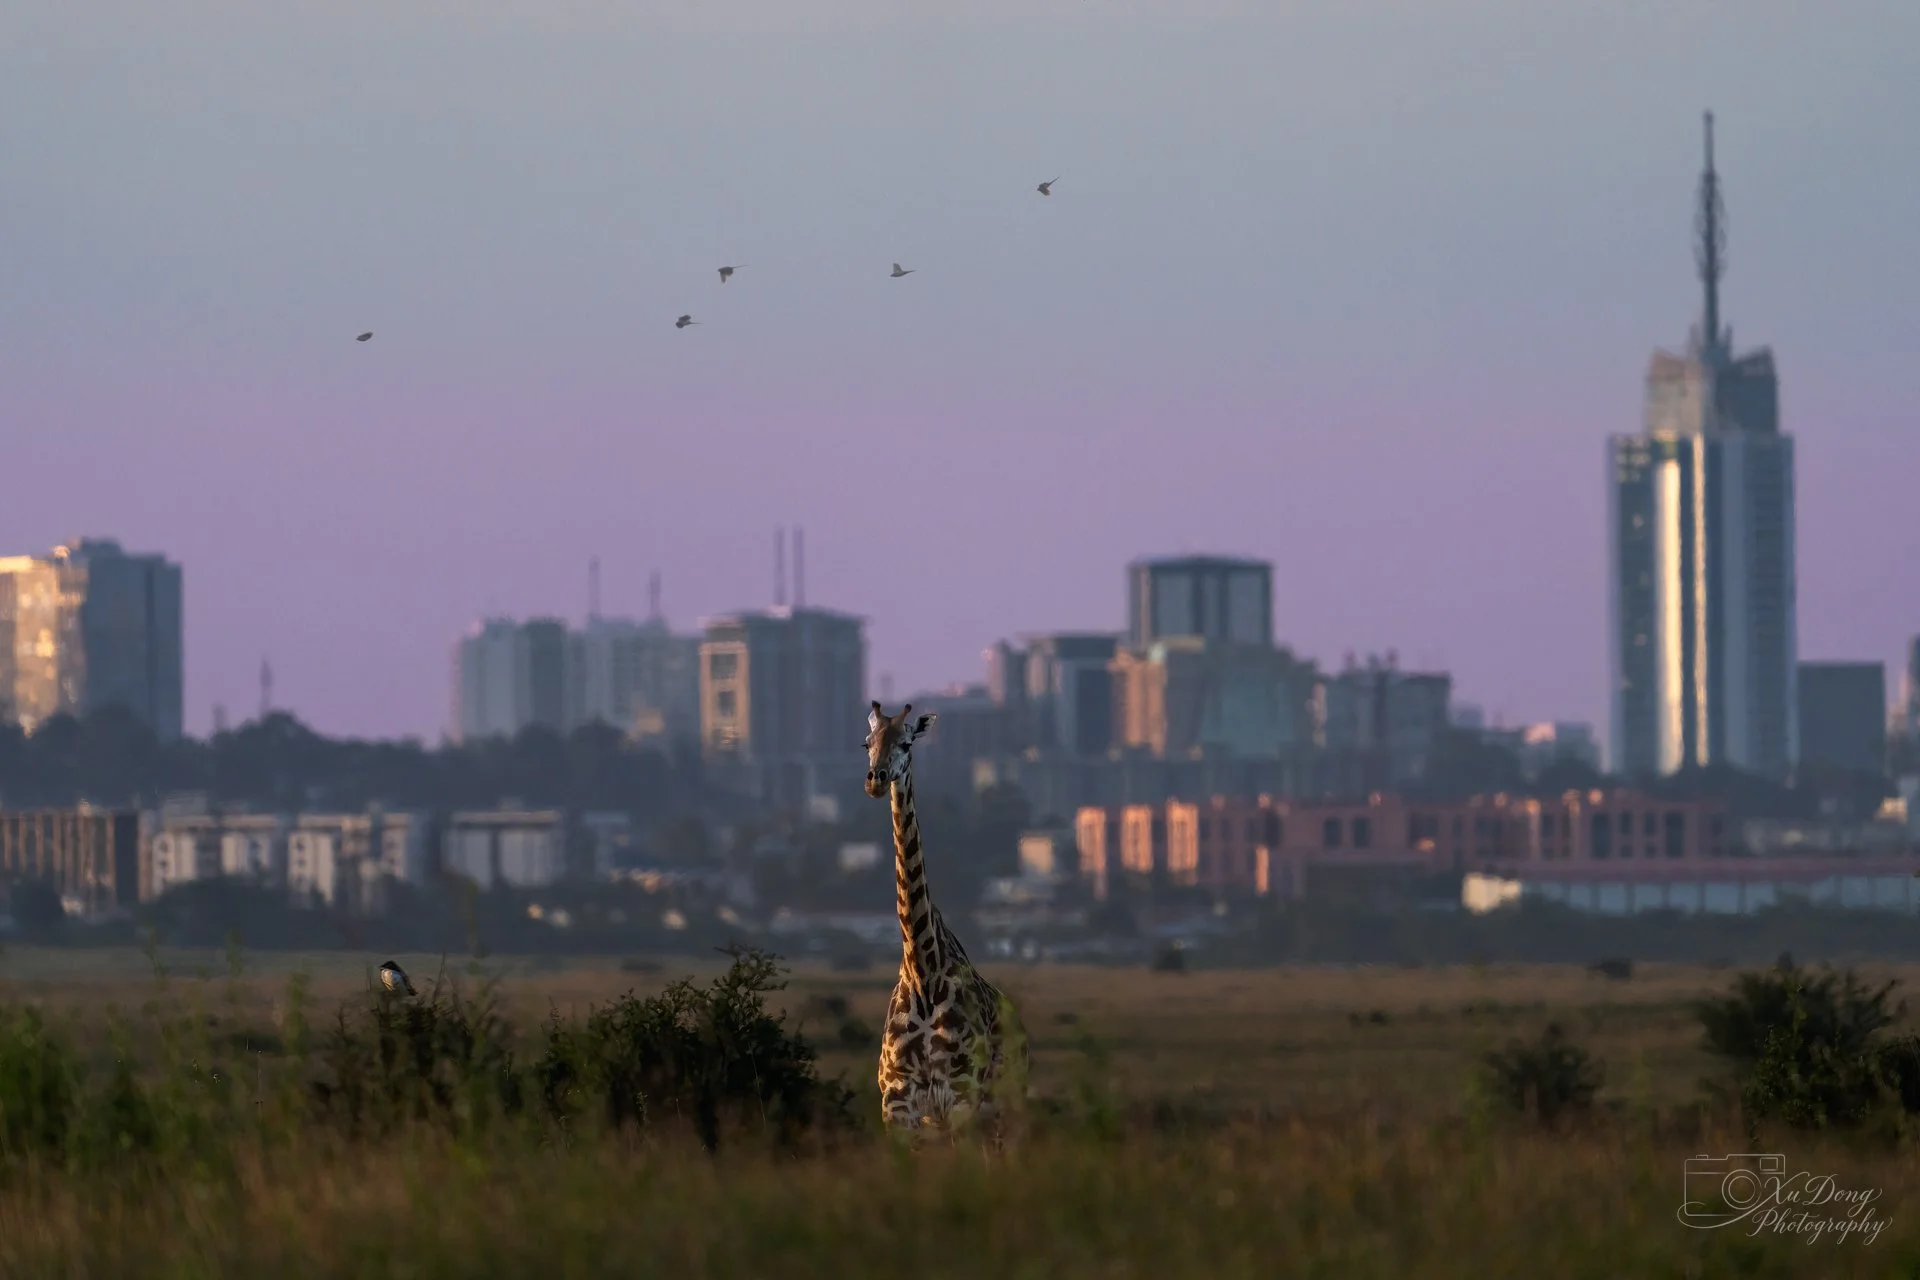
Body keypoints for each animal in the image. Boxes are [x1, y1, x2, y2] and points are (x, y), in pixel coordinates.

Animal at [864, 701, 1028, 1138]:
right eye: (867, 742)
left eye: (906, 743)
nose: (875, 780)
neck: (923, 974)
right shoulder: (898, 1104)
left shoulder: (960, 1095)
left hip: (1005, 1109)